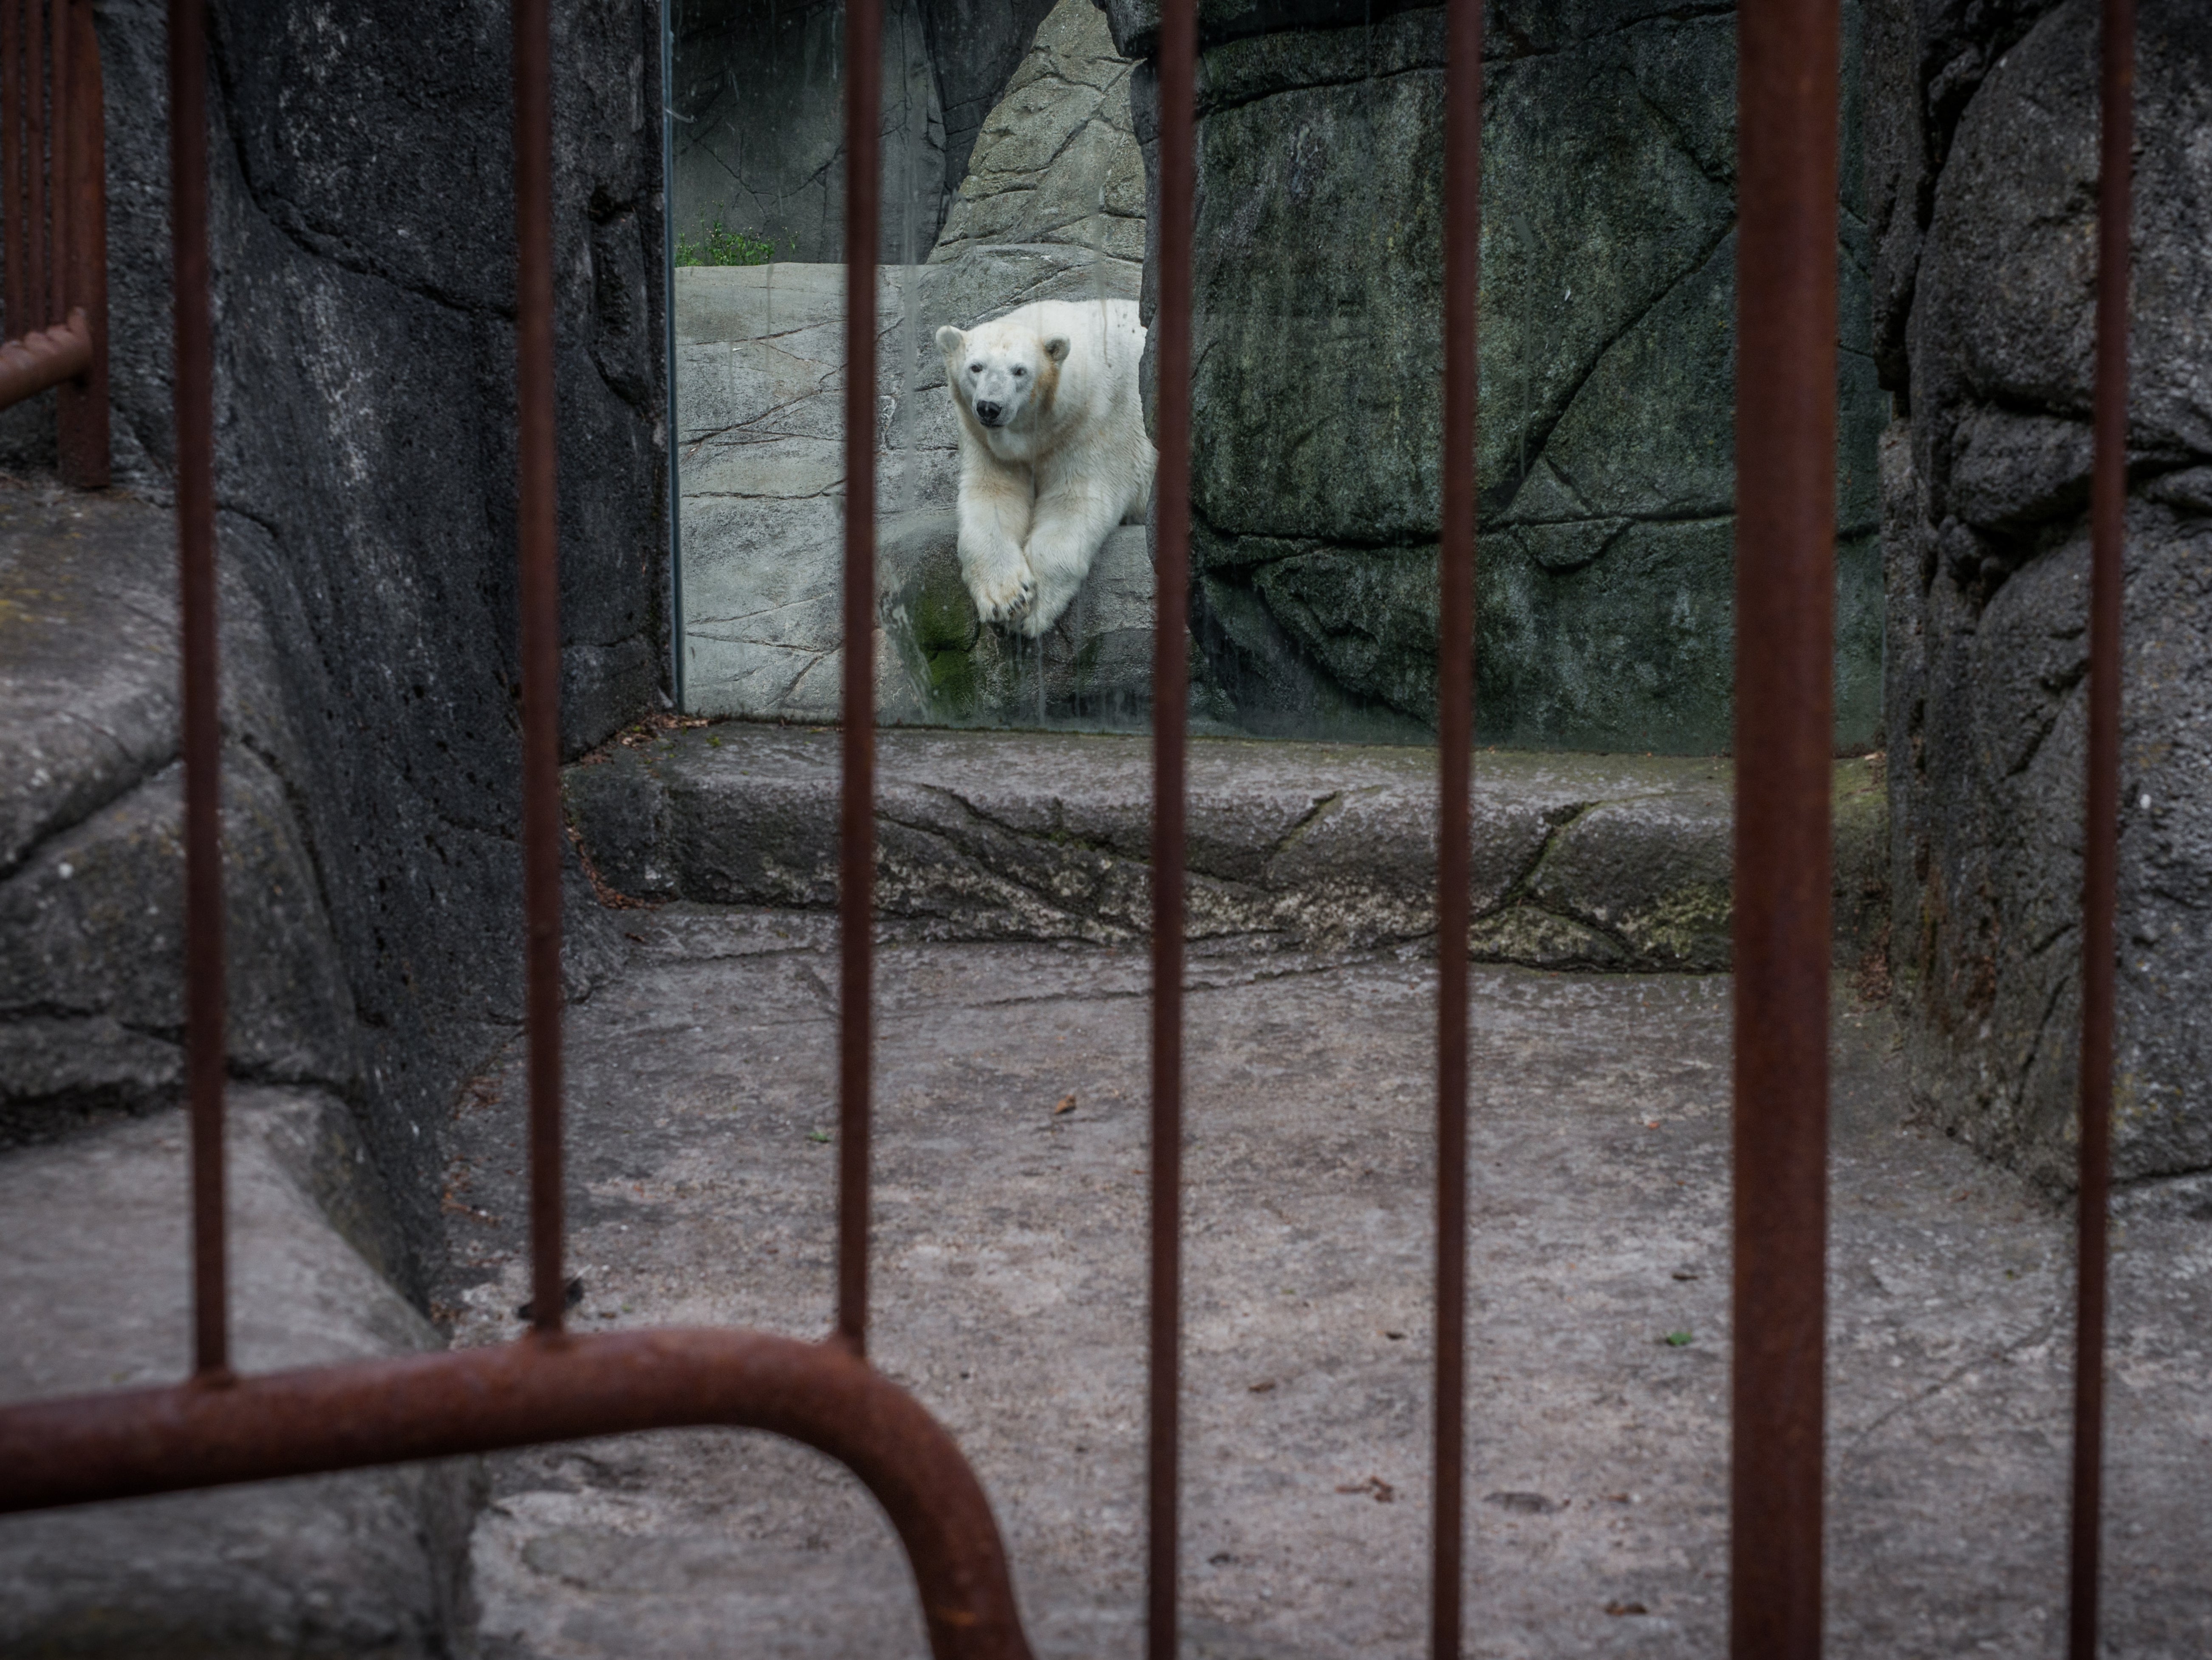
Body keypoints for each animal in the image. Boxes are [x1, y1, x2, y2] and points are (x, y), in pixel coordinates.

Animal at [933, 299, 1159, 637]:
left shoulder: (1094, 424)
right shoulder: (984, 440)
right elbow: (995, 496)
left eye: (1019, 371)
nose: (989, 408)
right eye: (976, 367)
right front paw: (1007, 599)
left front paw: (1034, 610)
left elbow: (1074, 499)